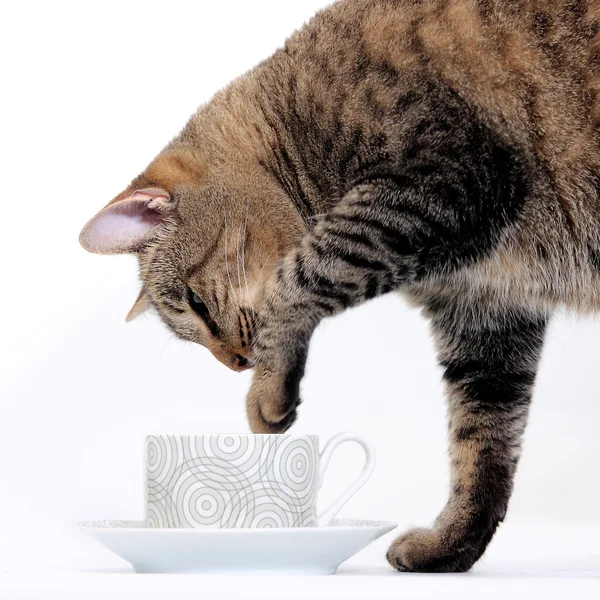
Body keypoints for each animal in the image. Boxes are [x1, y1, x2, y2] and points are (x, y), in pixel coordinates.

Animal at [78, 0, 600, 572]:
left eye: (196, 304)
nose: (235, 364)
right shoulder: (486, 315)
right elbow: (482, 441)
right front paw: (452, 544)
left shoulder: (446, 178)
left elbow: (300, 276)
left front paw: (267, 390)